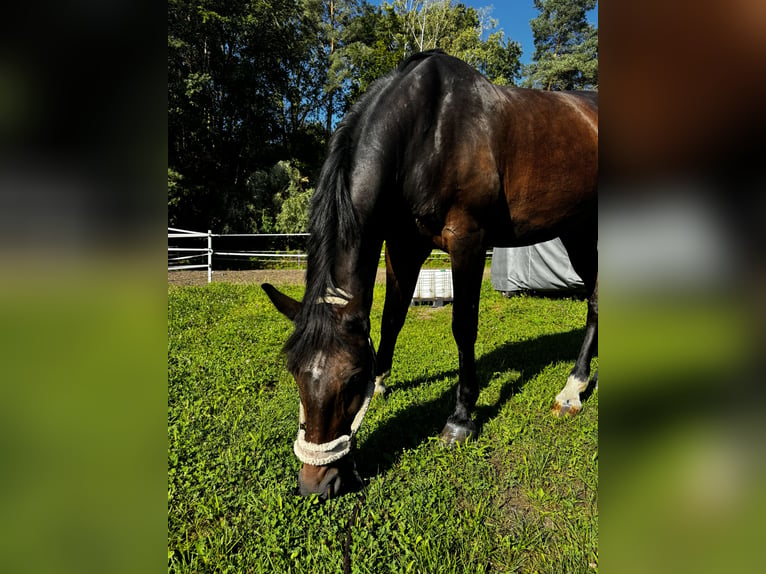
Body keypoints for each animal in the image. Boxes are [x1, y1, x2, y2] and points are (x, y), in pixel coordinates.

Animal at [264, 49, 600, 500]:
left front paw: (461, 418)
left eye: (351, 380)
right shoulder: (403, 245)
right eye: (295, 373)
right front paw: (383, 383)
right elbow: (392, 318)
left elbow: (463, 326)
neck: (427, 132)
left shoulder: (468, 240)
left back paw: (573, 389)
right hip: (573, 229)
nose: (315, 485)